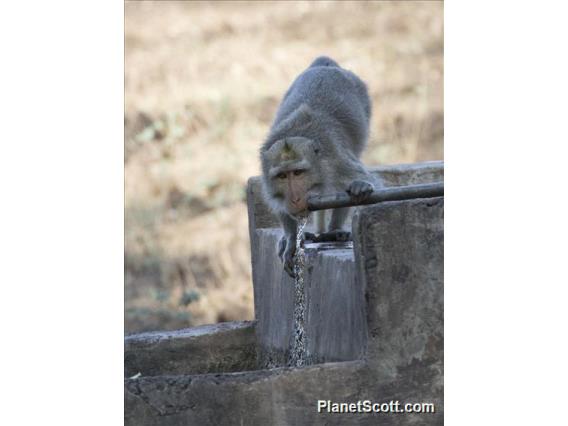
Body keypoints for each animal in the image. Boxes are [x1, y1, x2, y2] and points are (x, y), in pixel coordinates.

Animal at [262, 55, 382, 276]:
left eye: (298, 173)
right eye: (282, 176)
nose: (295, 198)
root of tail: (325, 65)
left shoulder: (337, 161)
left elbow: (370, 186)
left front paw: (361, 186)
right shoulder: (265, 169)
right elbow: (277, 204)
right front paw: (291, 239)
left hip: (364, 98)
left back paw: (334, 231)